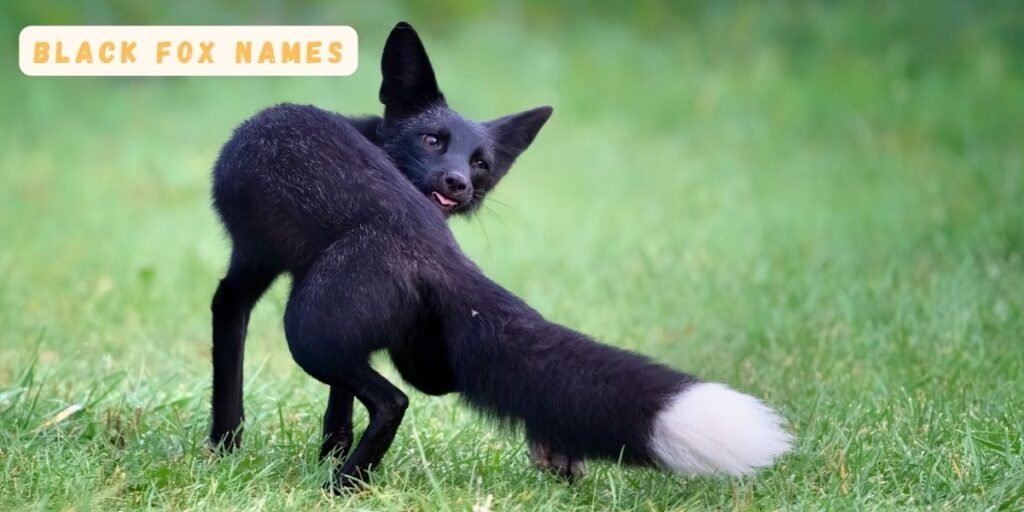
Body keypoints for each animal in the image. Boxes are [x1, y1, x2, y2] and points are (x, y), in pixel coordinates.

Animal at [210, 22, 793, 490]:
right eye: (432, 139)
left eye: (481, 163)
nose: (458, 184)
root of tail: (435, 248)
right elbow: (337, 412)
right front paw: (322, 453)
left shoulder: (249, 267)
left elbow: (230, 354)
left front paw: (223, 451)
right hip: (415, 355)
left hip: (308, 333)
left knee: (393, 402)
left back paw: (342, 487)